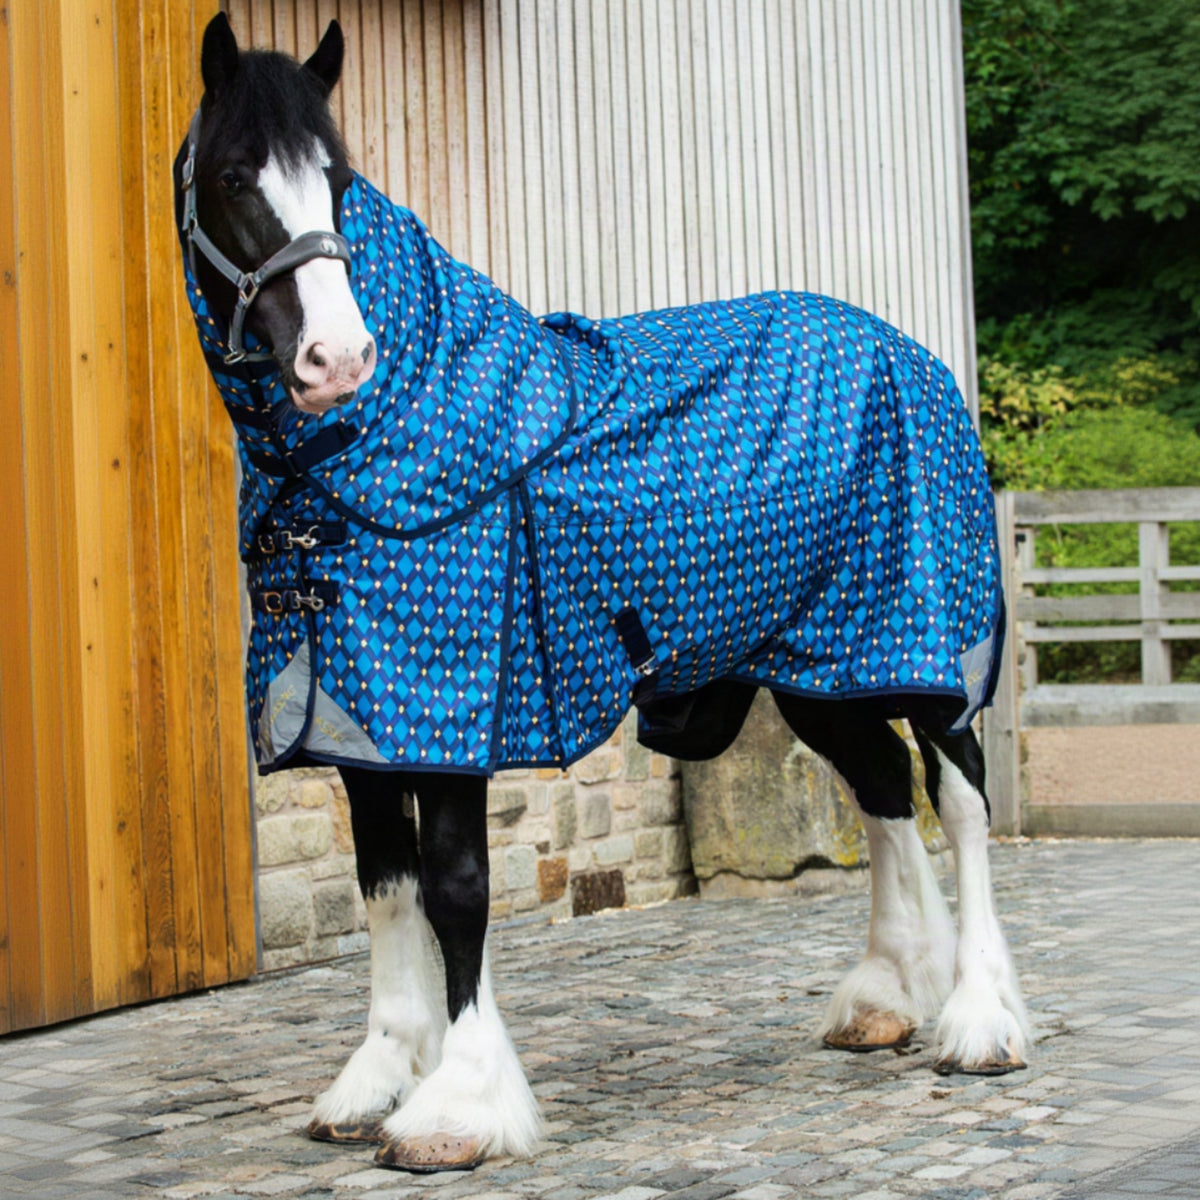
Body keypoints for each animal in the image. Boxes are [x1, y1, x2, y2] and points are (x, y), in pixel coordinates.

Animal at [175, 13, 1030, 1174]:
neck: (370, 452)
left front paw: (458, 1105)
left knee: (961, 795)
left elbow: (456, 888)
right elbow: (386, 886)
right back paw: (886, 998)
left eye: (338, 179)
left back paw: (980, 1021)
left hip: (917, 636)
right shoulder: (360, 731)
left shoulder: (457, 711)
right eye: (232, 176)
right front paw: (378, 1076)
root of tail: (910, 351)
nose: (337, 358)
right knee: (883, 788)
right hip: (821, 661)